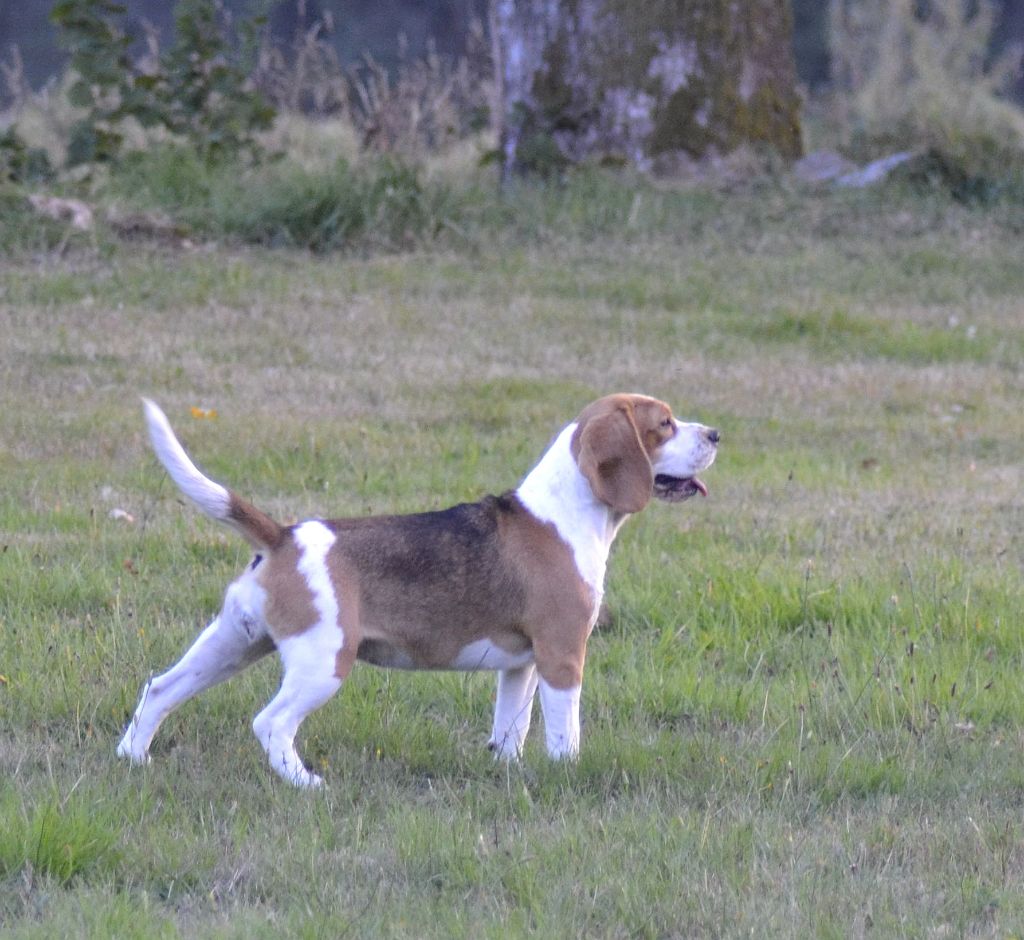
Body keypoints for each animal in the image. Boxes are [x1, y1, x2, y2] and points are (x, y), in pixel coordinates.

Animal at [117, 391, 720, 786]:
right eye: (664, 424)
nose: (715, 434)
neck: (564, 511)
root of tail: (285, 535)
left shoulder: (520, 666)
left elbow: (511, 728)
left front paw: (505, 771)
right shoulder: (562, 655)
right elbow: (562, 732)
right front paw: (567, 773)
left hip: (232, 644)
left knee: (160, 689)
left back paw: (133, 759)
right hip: (322, 662)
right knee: (271, 723)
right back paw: (307, 783)